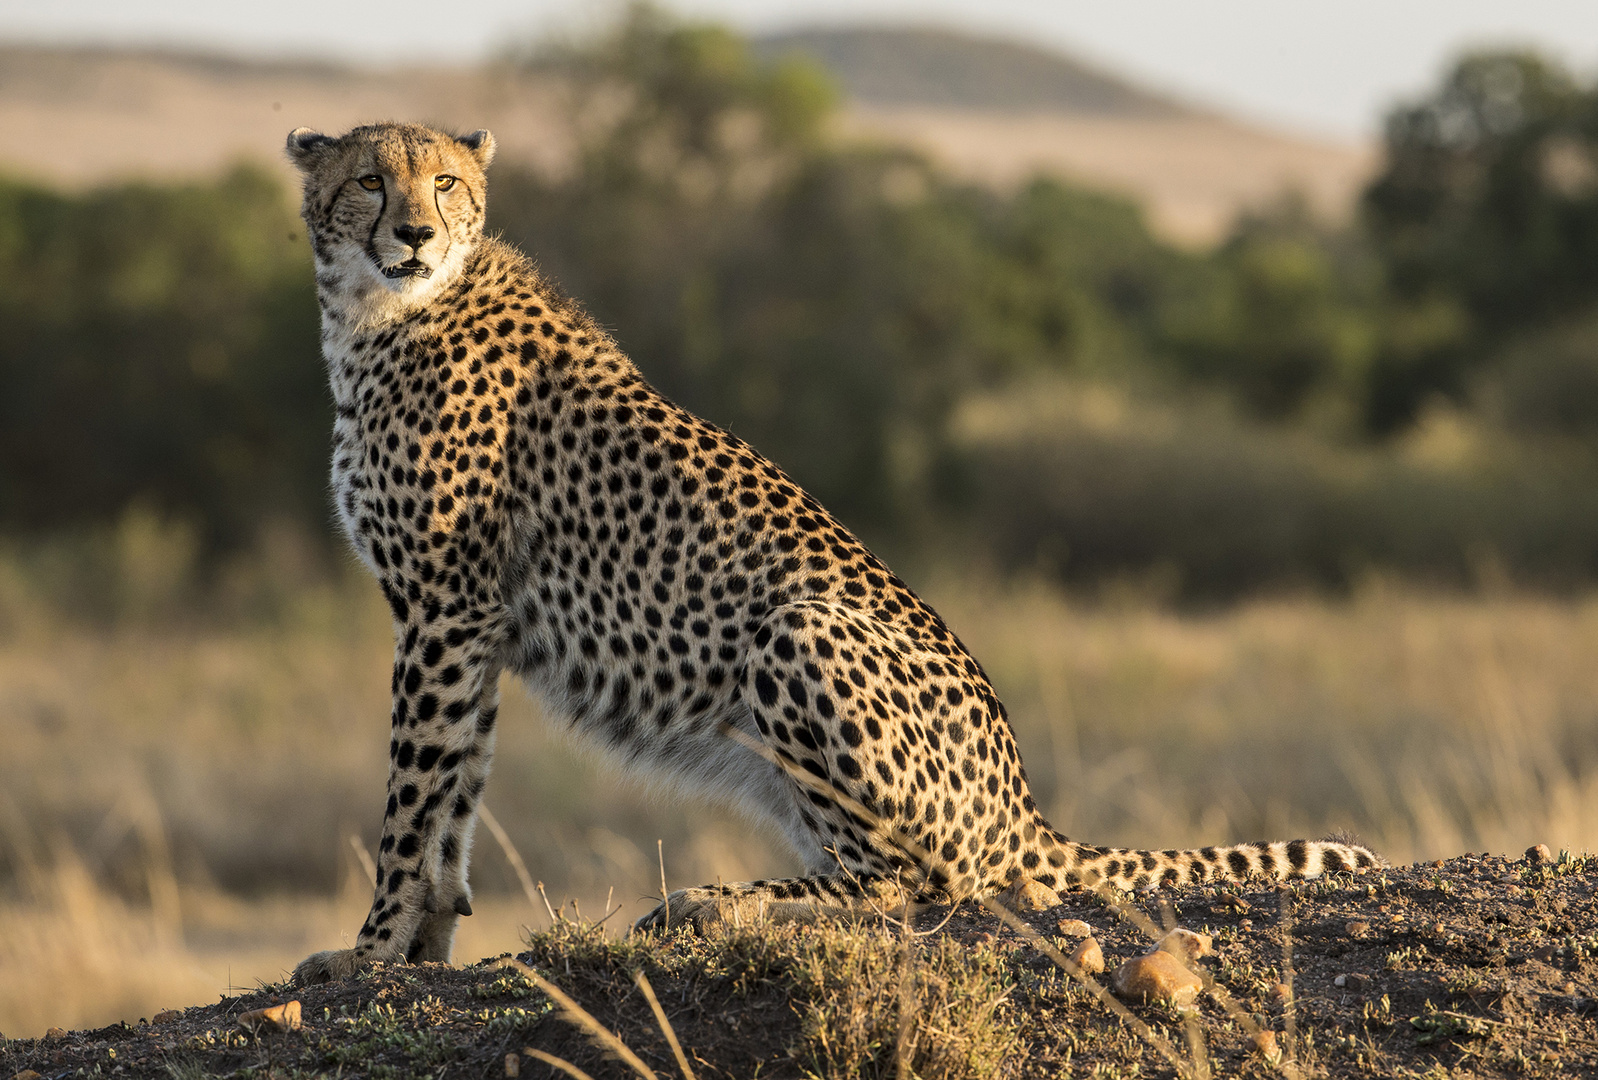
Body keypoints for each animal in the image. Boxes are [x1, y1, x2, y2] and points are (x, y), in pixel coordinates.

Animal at [281, 122, 1380, 984]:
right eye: (370, 180)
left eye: (445, 184)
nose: (416, 233)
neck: (377, 316)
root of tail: (1024, 803)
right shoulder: (468, 618)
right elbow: (456, 790)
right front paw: (423, 947)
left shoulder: (445, 607)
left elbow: (411, 795)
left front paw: (368, 951)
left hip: (798, 627)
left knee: (912, 887)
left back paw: (722, 901)